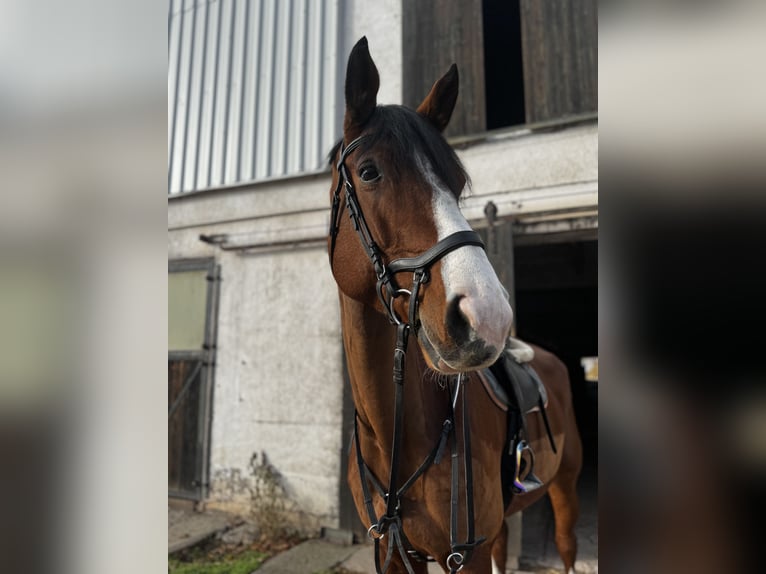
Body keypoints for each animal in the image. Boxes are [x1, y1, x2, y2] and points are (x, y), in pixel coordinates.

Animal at [327, 37, 583, 574]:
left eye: (456, 182)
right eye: (369, 172)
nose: (487, 317)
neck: (395, 438)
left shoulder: (467, 553)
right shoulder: (391, 551)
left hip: (564, 487)